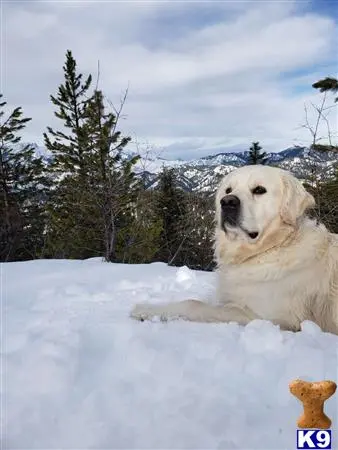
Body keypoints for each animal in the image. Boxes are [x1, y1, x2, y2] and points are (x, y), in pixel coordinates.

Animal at [130, 164, 338, 334]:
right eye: (228, 190)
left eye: (259, 190)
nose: (228, 201)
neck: (267, 249)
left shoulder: (264, 317)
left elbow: (193, 304)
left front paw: (144, 309)